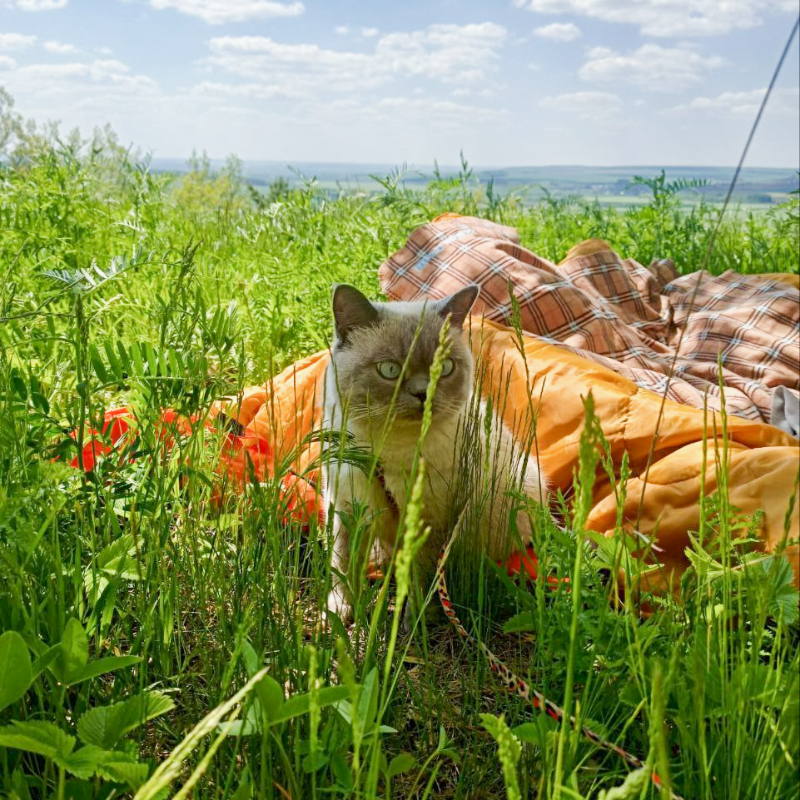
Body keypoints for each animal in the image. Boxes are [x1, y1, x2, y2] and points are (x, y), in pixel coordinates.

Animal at [322, 284, 548, 620]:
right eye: (389, 370)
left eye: (445, 368)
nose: (422, 394)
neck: (388, 449)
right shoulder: (348, 507)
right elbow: (343, 564)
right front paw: (339, 612)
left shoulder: (430, 520)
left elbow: (421, 577)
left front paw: (417, 619)